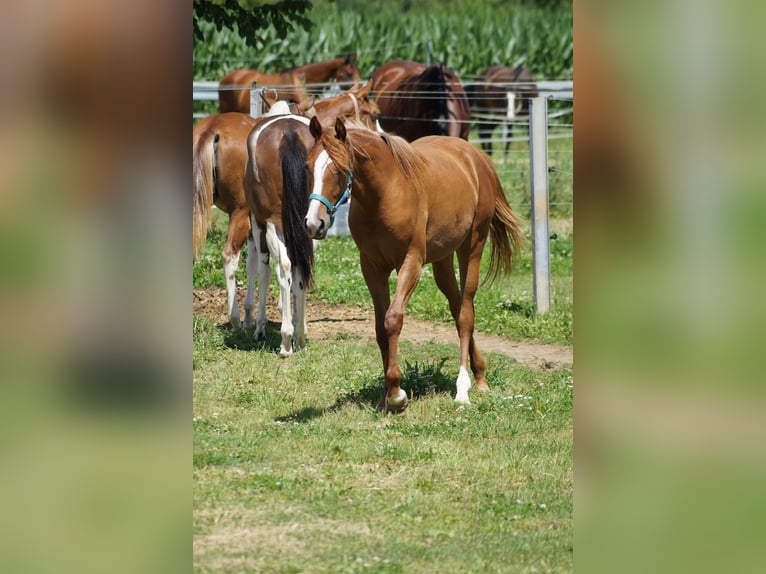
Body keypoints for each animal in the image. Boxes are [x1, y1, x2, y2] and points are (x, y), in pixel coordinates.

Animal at [243, 83, 380, 358]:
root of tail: (288, 134)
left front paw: (261, 327)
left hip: (275, 223)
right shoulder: (310, 223)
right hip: (311, 225)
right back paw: (300, 335)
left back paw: (286, 340)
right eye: (371, 115)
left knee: (284, 266)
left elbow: (263, 271)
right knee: (301, 268)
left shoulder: (258, 223)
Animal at [304, 118, 524, 414]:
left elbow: (393, 320)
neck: (384, 194)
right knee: (457, 308)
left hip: (472, 248)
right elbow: (380, 328)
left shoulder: (411, 262)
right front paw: (386, 397)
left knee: (466, 314)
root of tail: (476, 157)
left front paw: (397, 395)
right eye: (307, 166)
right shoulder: (371, 267)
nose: (314, 224)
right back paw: (480, 374)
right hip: (442, 260)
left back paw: (464, 388)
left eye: (338, 170)